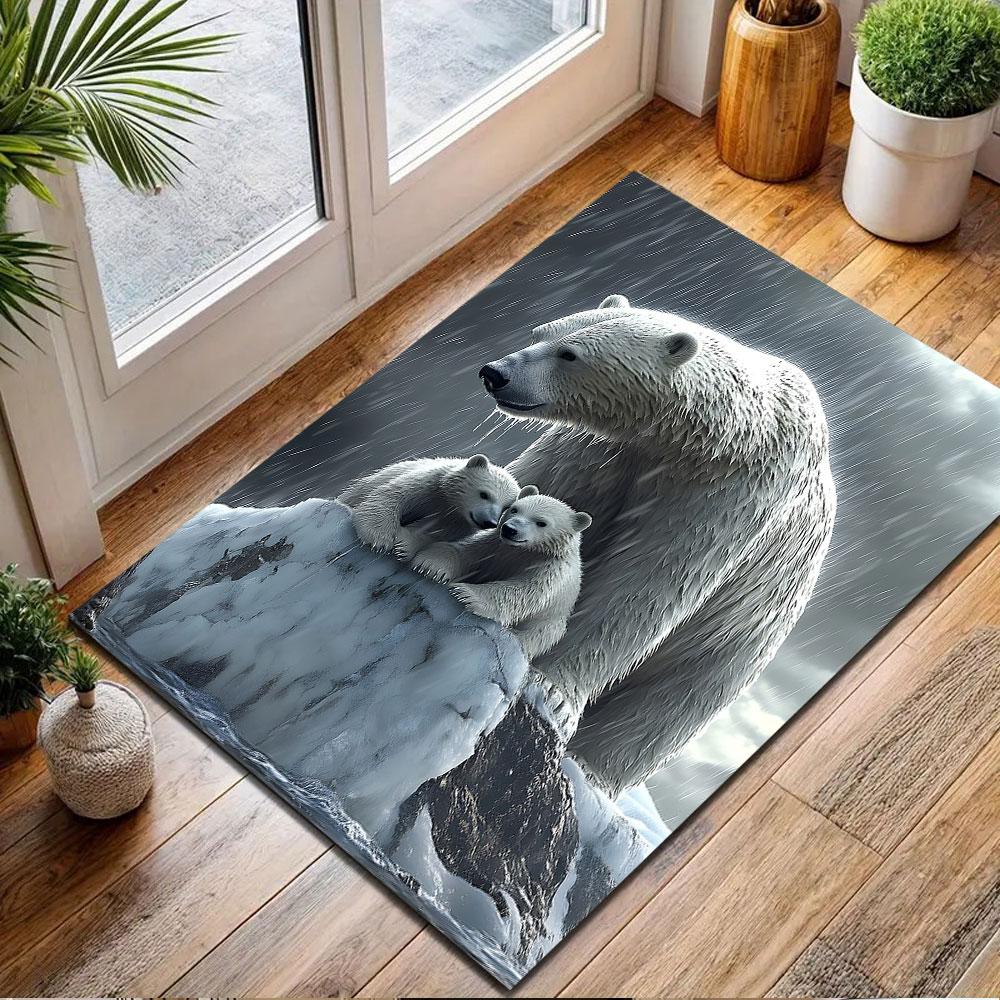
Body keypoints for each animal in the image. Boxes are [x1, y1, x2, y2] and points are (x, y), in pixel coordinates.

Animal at [337, 454, 520, 561]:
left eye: (506, 507)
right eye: (484, 494)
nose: (489, 522)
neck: (447, 501)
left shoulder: (456, 520)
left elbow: (437, 532)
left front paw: (404, 546)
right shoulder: (426, 485)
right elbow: (391, 496)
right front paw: (379, 539)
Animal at [412, 486, 591, 659]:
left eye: (542, 523)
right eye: (515, 509)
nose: (510, 529)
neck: (530, 552)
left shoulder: (550, 570)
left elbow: (524, 591)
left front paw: (466, 593)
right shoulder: (496, 546)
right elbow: (469, 552)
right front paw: (429, 564)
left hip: (551, 622)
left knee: (538, 635)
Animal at [477, 293, 836, 796]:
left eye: (570, 354)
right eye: (540, 333)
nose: (495, 373)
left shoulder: (729, 497)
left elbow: (647, 588)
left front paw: (550, 689)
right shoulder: (604, 450)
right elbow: (546, 487)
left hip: (739, 637)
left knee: (672, 704)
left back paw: (592, 768)